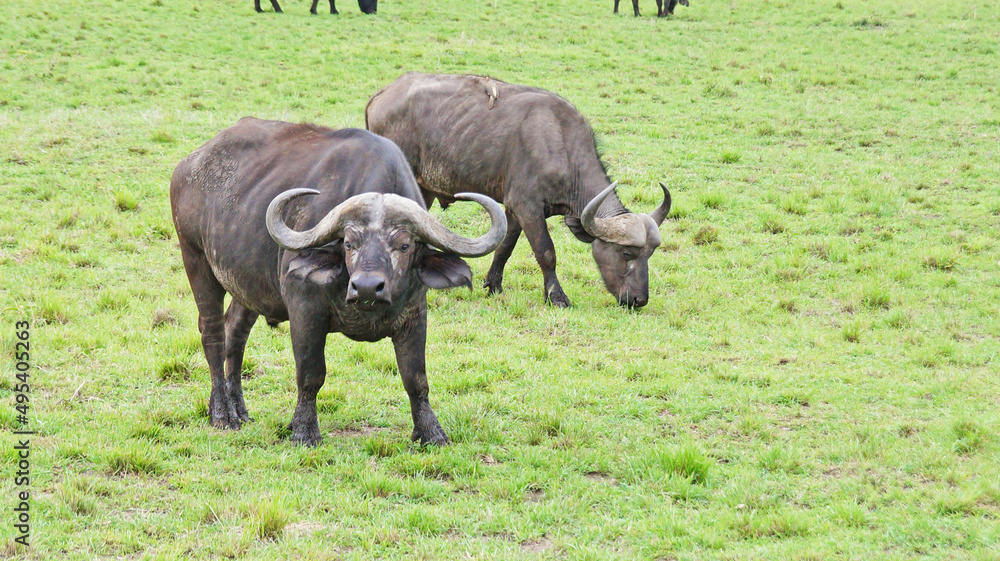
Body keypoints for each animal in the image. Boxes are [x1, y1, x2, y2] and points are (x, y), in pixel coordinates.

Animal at [170, 117, 505, 446]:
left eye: (405, 245)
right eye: (348, 243)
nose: (367, 287)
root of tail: (188, 166)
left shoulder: (414, 315)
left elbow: (416, 379)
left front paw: (431, 432)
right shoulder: (305, 312)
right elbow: (311, 375)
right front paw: (303, 431)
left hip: (248, 285)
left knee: (236, 332)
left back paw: (239, 407)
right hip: (196, 258)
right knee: (213, 332)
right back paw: (222, 413)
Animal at [366, 72, 671, 308]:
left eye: (649, 255)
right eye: (627, 254)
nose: (639, 300)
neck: (560, 145)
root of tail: (381, 95)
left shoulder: (513, 210)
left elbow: (504, 247)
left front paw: (493, 284)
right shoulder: (528, 207)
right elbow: (546, 252)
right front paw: (557, 297)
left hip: (423, 188)